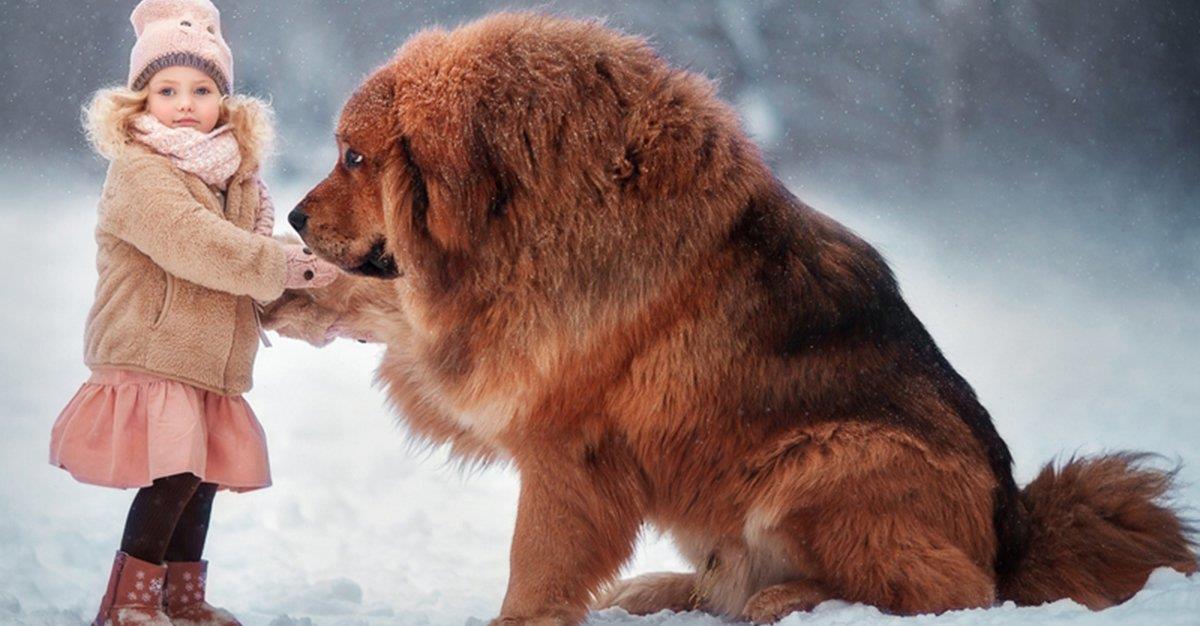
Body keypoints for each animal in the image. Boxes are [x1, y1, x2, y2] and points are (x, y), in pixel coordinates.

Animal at [265, 12, 1200, 618]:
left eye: (355, 157)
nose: (295, 217)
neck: (526, 210)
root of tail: (1015, 535)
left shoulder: (563, 441)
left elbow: (535, 568)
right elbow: (384, 301)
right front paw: (292, 293)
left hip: (825, 459)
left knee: (944, 592)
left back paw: (789, 599)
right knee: (730, 579)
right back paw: (664, 591)